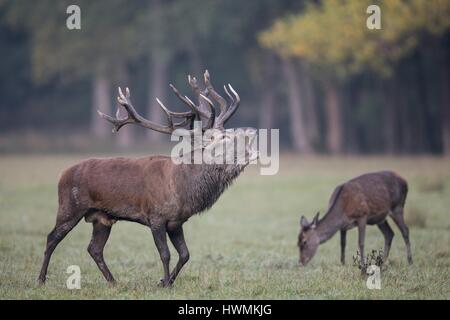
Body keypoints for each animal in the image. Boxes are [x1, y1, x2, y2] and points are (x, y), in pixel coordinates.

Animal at [38, 71, 256, 286]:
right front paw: (165, 283)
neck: (183, 188)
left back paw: (113, 281)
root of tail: (62, 174)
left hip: (102, 218)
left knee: (94, 248)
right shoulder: (156, 217)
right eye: (224, 140)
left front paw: (165, 281)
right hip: (70, 207)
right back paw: (41, 279)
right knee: (51, 238)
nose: (252, 140)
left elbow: (185, 254)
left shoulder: (177, 222)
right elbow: (165, 254)